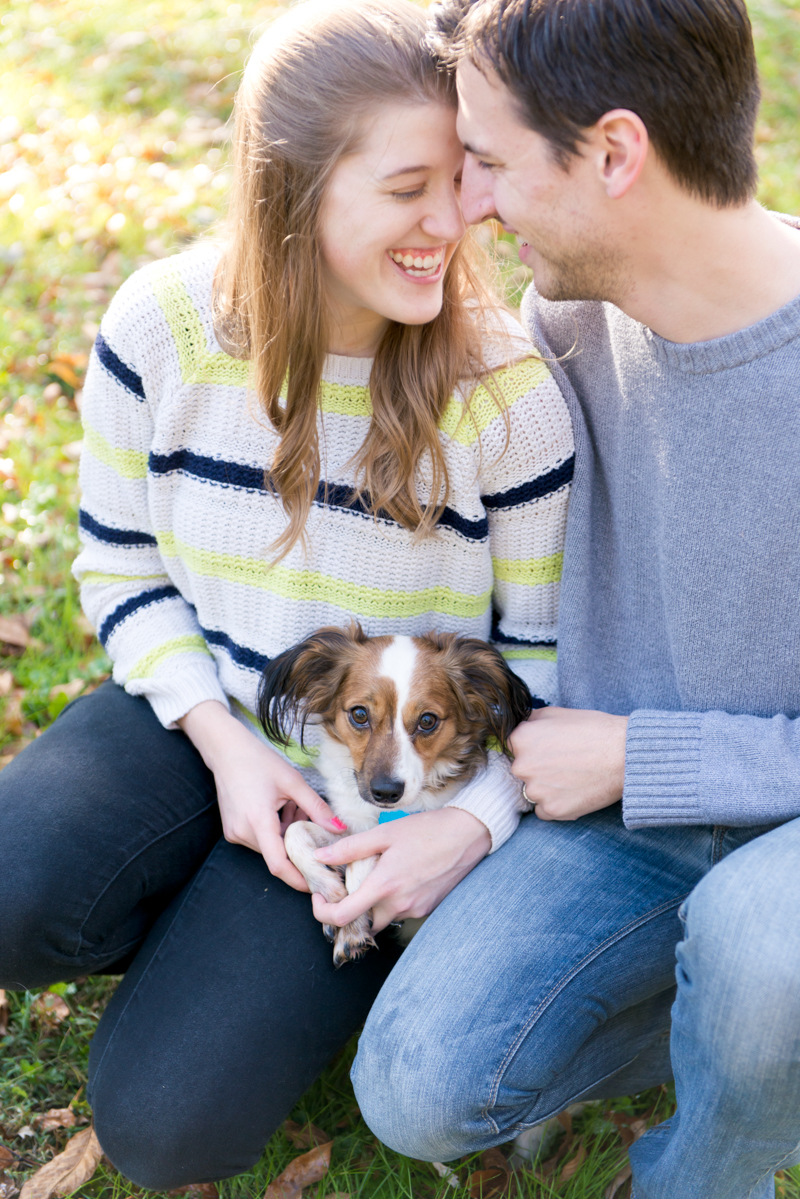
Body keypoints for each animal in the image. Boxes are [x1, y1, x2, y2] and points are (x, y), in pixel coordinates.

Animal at [256, 623, 532, 968]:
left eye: (427, 720)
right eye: (360, 714)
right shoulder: (349, 829)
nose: (386, 792)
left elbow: (364, 856)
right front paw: (328, 886)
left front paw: (353, 921)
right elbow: (294, 832)